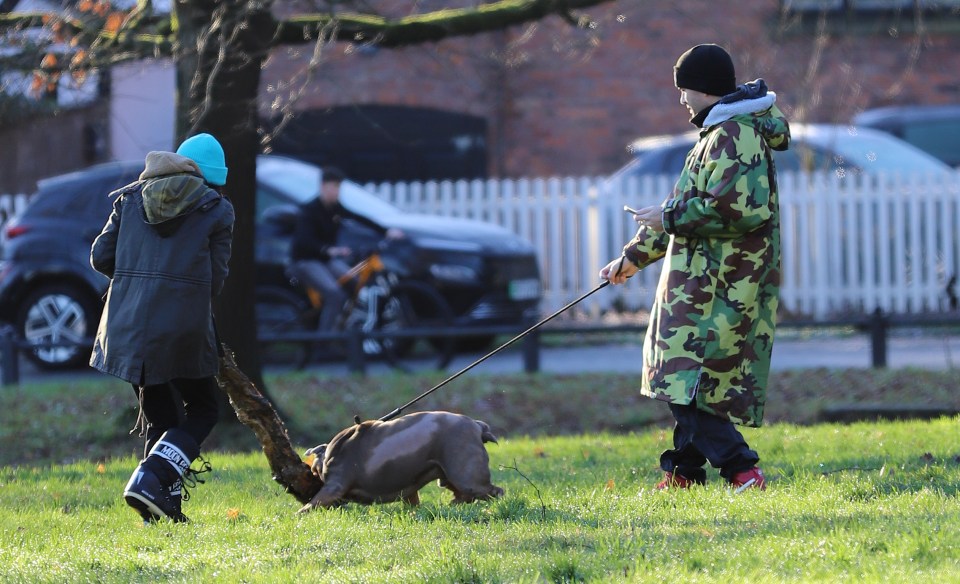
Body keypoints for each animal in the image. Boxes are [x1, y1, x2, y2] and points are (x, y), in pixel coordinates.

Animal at [302, 410, 506, 512]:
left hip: (467, 476)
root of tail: (477, 426)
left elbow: (312, 504)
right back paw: (454, 504)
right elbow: (412, 499)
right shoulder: (409, 490)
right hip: (447, 476)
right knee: (465, 495)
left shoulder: (334, 486)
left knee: (493, 491)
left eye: (312, 471)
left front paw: (301, 514)